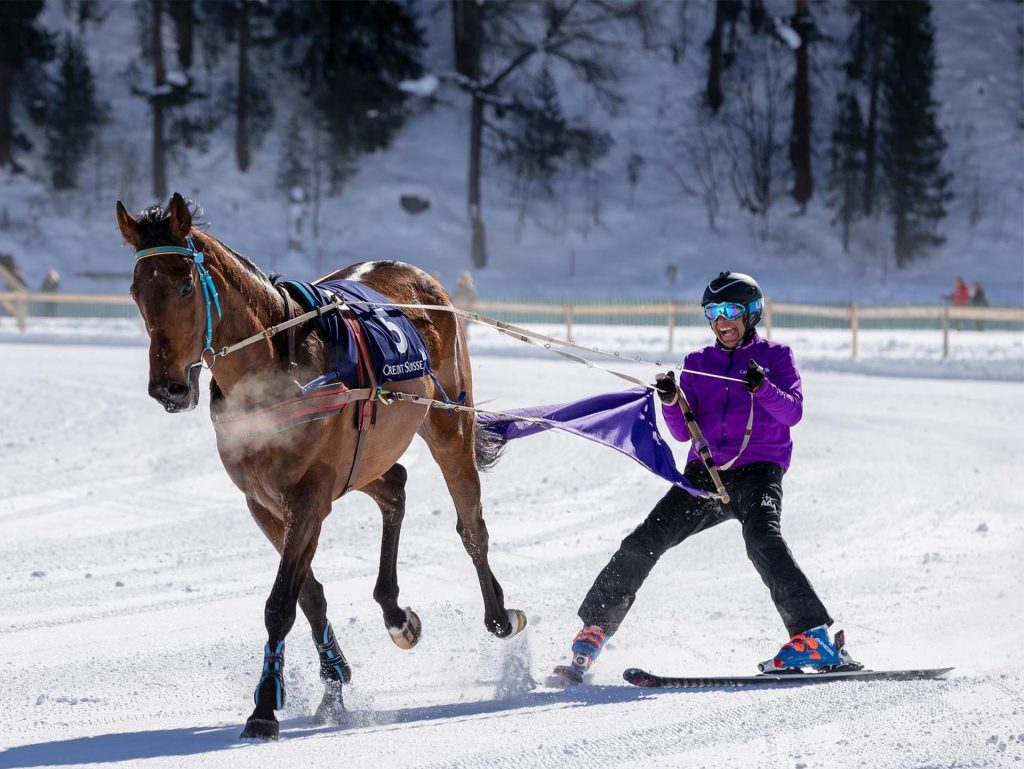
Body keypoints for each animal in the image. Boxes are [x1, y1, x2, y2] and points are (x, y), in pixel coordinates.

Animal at [117, 192, 528, 741]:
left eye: (185, 284)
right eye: (136, 290)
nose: (169, 389)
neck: (275, 367)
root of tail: (421, 278)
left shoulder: (309, 497)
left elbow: (280, 603)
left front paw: (264, 707)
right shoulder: (264, 503)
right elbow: (308, 595)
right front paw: (334, 682)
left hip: (447, 422)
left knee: (471, 524)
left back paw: (498, 613)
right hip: (365, 457)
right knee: (395, 488)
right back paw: (395, 612)